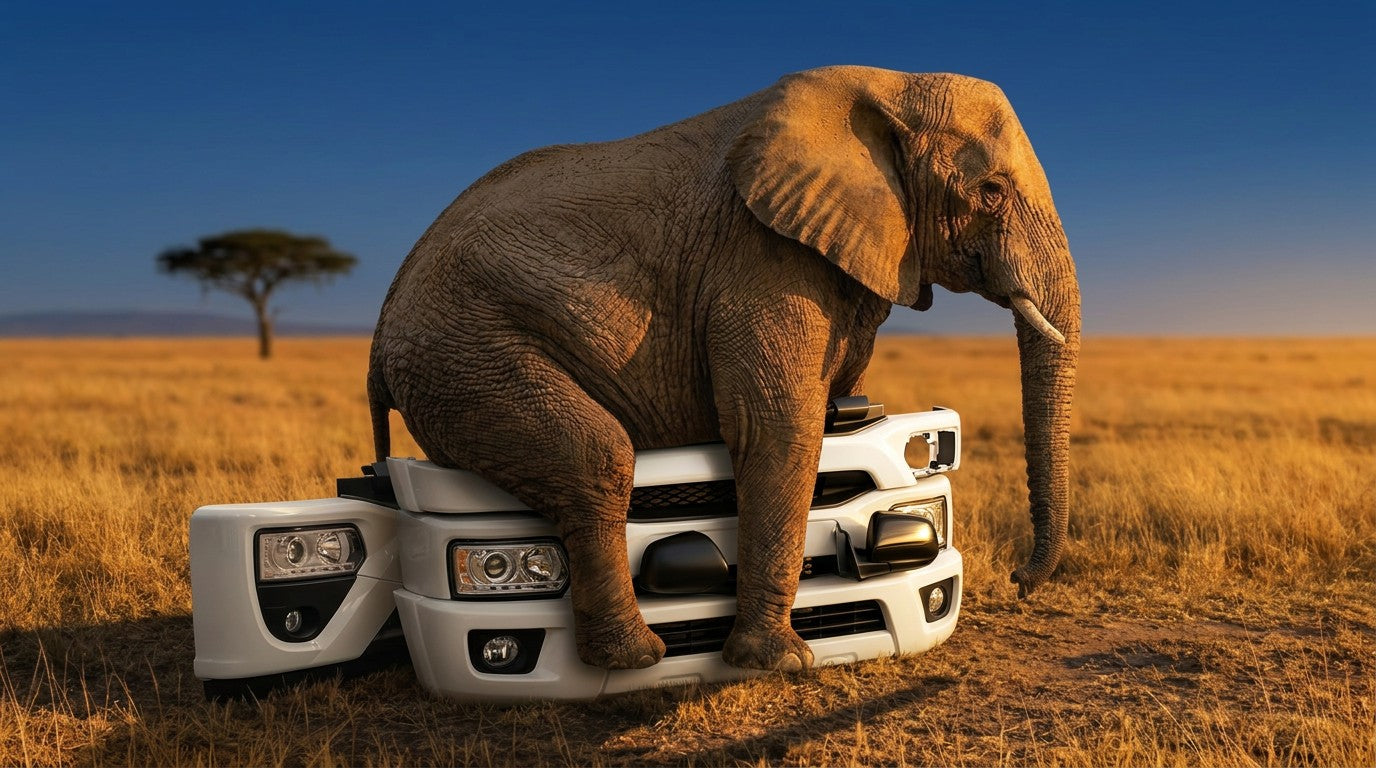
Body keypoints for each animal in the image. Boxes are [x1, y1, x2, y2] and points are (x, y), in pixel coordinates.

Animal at [368, 65, 1080, 672]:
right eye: (991, 192)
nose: (1019, 580)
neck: (891, 84)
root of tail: (381, 331)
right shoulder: (758, 255)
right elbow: (778, 426)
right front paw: (779, 661)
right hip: (462, 349)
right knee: (596, 454)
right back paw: (635, 657)